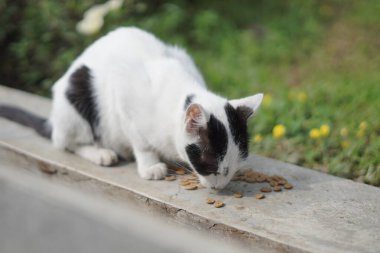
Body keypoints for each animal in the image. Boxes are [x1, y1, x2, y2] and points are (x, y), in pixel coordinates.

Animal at [0, 27, 262, 190]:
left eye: (235, 166)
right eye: (210, 167)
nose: (220, 186)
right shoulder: (124, 98)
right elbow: (142, 142)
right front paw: (150, 165)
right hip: (75, 98)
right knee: (66, 142)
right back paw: (101, 153)